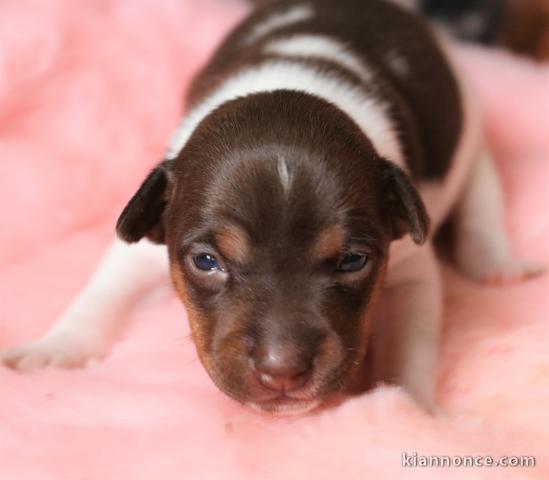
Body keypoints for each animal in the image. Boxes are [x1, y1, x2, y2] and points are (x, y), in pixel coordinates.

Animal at [1, 0, 540, 414]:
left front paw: (409, 408)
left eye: (353, 261)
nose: (283, 372)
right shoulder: (152, 233)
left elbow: (411, 343)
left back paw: (495, 264)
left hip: (472, 144)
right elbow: (102, 290)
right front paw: (56, 348)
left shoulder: (409, 266)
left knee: (481, 203)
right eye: (206, 262)